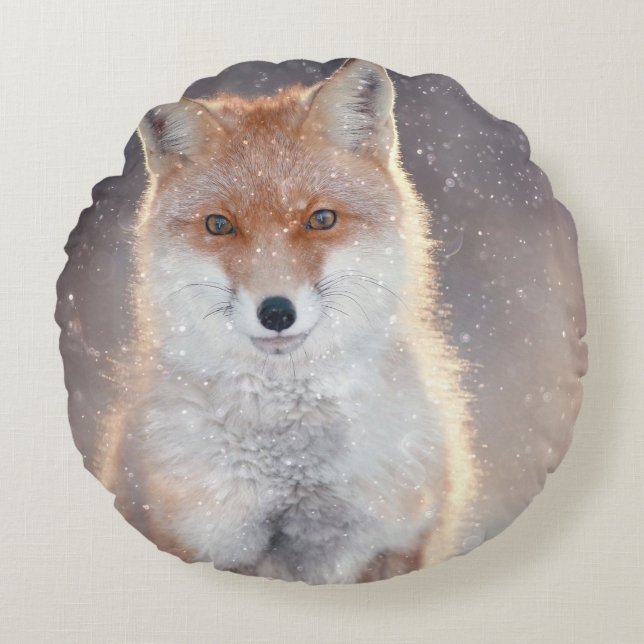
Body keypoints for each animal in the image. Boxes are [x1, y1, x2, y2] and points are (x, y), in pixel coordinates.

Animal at [95, 58, 479, 584]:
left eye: (321, 219)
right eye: (219, 225)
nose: (276, 312)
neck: (293, 464)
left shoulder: (389, 541)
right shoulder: (206, 537)